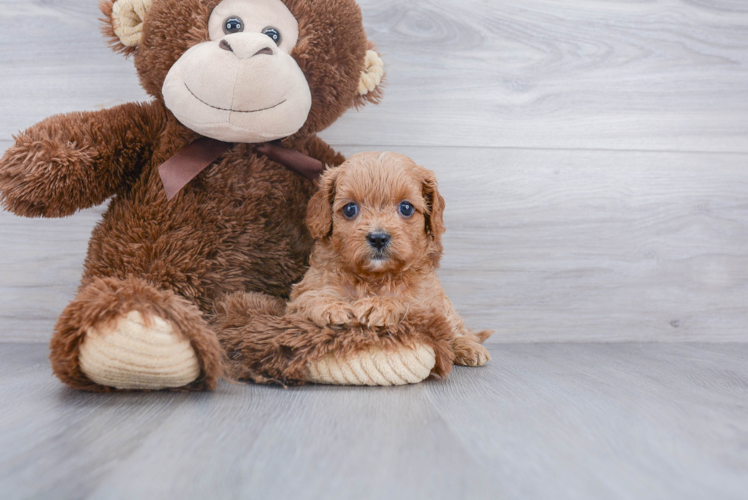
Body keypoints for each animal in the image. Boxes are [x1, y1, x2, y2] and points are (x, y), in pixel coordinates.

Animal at [286, 150, 490, 366]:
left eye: (406, 208)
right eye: (350, 209)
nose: (378, 238)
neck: (374, 277)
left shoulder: (427, 302)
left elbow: (408, 302)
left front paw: (380, 304)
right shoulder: (301, 296)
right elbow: (308, 298)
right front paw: (330, 307)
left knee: (455, 327)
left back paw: (468, 346)